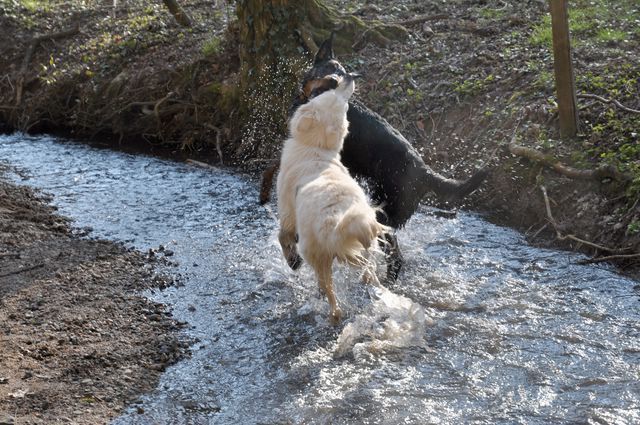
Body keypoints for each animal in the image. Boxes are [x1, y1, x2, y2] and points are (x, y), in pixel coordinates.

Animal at [262, 36, 488, 280]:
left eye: (340, 74)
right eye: (330, 69)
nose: (334, 81)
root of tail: (424, 171)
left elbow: (272, 165)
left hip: (385, 215)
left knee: (395, 257)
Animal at [274, 73, 384, 324]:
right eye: (344, 106)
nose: (350, 76)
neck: (316, 150)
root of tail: (335, 218)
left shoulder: (287, 211)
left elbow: (283, 236)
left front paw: (292, 261)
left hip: (315, 251)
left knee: (328, 287)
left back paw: (333, 311)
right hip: (365, 237)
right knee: (368, 266)